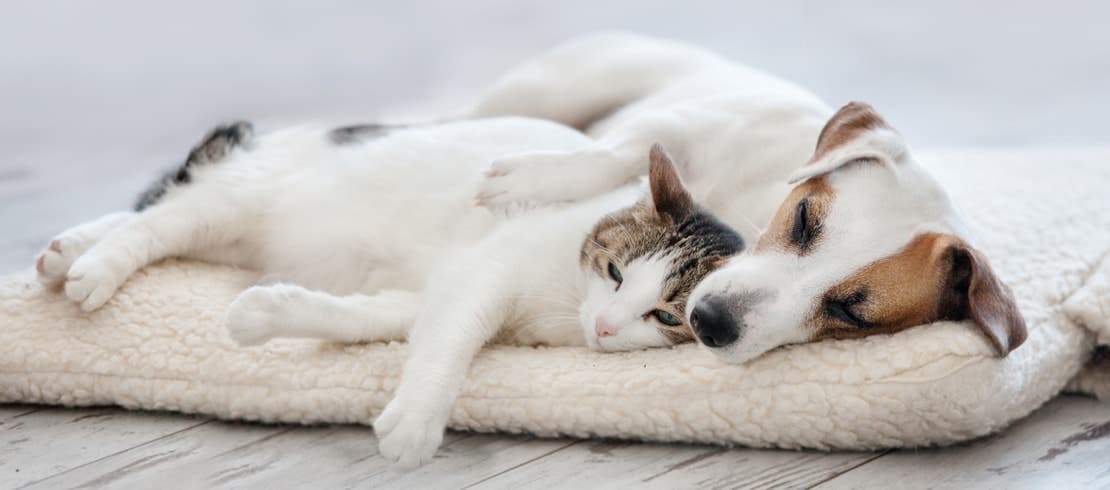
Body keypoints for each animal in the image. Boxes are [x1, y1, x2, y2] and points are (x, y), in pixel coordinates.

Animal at [32, 116, 745, 468]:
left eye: (665, 317)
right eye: (617, 272)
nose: (603, 327)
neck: (564, 308)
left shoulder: (427, 291)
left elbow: (367, 319)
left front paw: (267, 314)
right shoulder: (481, 272)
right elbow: (451, 343)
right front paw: (418, 419)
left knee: (163, 216)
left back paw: (66, 252)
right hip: (240, 199)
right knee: (155, 222)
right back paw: (93, 266)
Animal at [472, 29, 1025, 360]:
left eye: (851, 314)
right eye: (803, 218)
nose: (708, 321)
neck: (743, 213)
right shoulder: (685, 126)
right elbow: (617, 153)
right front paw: (524, 178)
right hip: (555, 90)